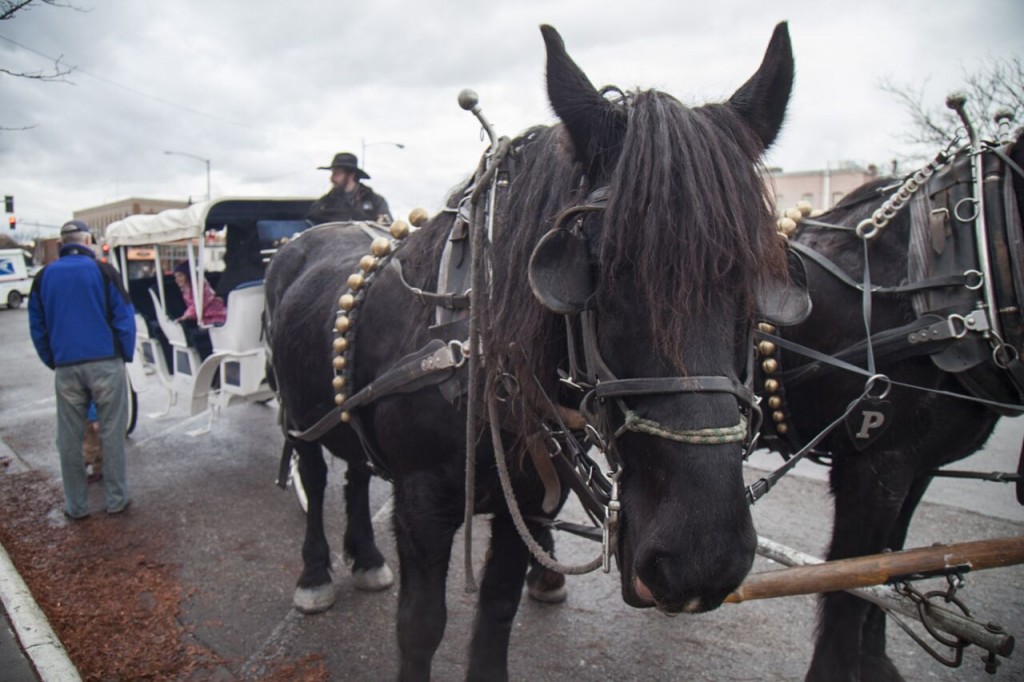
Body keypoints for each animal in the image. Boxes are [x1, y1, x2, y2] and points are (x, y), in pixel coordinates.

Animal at [264, 22, 790, 679]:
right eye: (591, 269)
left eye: (761, 274)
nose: (704, 555)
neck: (472, 358)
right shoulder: (422, 505)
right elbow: (420, 626)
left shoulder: (532, 500)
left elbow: (496, 610)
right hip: (297, 412)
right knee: (314, 473)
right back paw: (315, 573)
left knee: (355, 470)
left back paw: (365, 557)